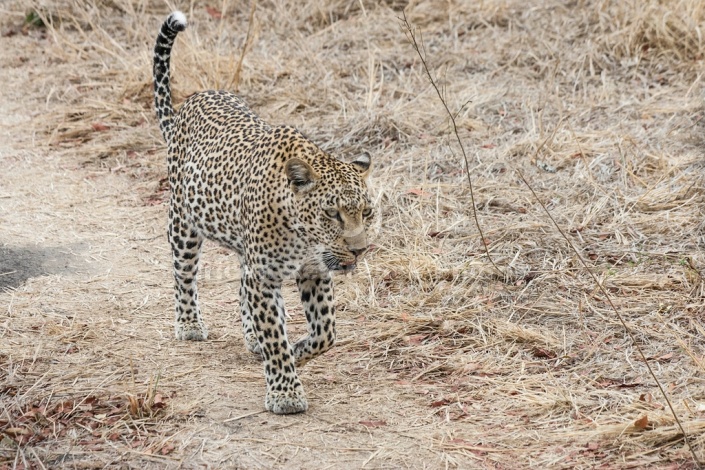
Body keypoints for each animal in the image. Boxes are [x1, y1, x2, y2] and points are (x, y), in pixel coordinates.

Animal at [152, 11, 376, 414]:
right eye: (333, 214)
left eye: (366, 213)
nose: (359, 250)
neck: (303, 236)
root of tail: (187, 105)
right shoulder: (266, 276)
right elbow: (275, 334)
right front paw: (286, 392)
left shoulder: (314, 272)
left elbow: (326, 332)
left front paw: (297, 350)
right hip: (183, 223)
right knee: (184, 275)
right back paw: (190, 324)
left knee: (241, 287)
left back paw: (252, 337)